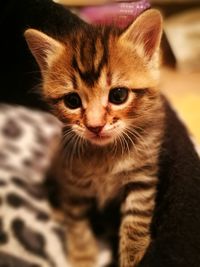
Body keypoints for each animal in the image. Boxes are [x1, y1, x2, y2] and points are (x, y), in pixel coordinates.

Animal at [25, 8, 200, 267]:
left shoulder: (142, 176)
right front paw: (83, 255)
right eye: (72, 101)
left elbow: (136, 219)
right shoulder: (73, 180)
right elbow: (76, 221)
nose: (95, 126)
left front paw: (133, 256)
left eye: (118, 95)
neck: (105, 153)